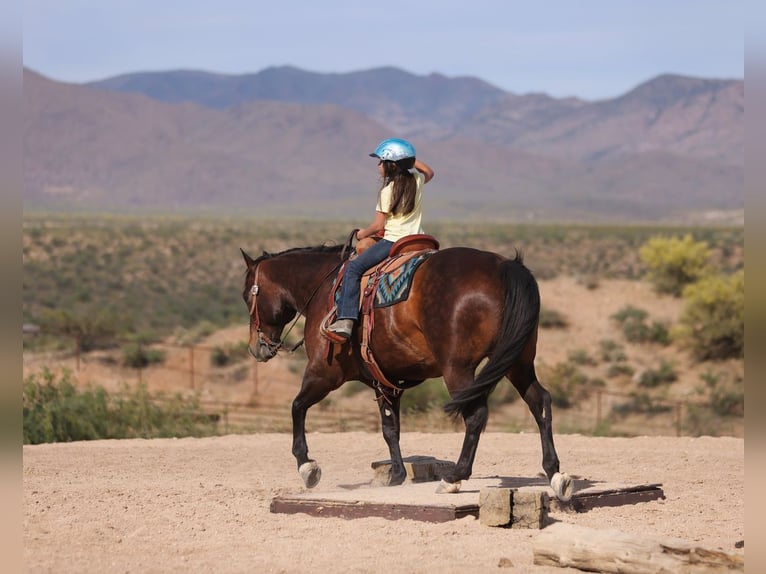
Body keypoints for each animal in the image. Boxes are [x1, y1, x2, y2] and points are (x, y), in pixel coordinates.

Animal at [240, 236, 572, 500]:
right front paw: (397, 475)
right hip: (519, 363)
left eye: (246, 296)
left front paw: (307, 467)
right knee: (540, 403)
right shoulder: (386, 382)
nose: (257, 347)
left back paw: (454, 477)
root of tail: (505, 266)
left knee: (476, 415)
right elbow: (390, 429)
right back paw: (555, 474)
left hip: (459, 369)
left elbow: (297, 407)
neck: (324, 288)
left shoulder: (323, 373)